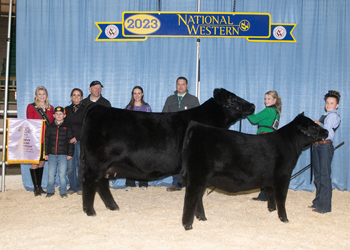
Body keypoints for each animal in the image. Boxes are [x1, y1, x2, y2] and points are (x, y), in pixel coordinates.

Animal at [79, 88, 254, 215]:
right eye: (233, 98)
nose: (252, 105)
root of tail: (97, 108)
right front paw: (200, 216)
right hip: (96, 162)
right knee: (90, 182)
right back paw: (90, 211)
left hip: (106, 166)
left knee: (101, 184)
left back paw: (113, 206)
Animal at [179, 113, 330, 230]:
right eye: (313, 126)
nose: (327, 131)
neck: (290, 143)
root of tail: (196, 126)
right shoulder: (283, 175)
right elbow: (281, 197)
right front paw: (284, 218)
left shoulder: (269, 179)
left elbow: (270, 193)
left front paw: (271, 210)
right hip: (197, 177)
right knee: (191, 198)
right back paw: (188, 225)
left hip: (201, 179)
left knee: (198, 198)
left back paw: (201, 218)